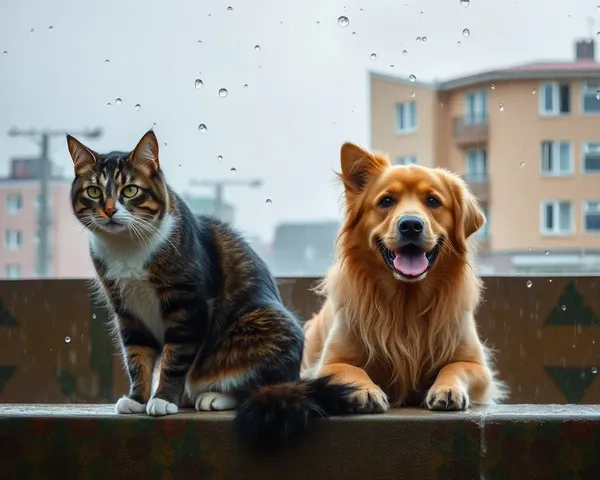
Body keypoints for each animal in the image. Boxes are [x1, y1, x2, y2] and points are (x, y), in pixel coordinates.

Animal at [65, 130, 358, 446]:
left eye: (130, 190)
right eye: (94, 192)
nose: (109, 210)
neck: (127, 249)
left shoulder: (188, 305)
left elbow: (175, 357)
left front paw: (163, 398)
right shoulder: (126, 310)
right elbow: (137, 356)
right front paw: (138, 399)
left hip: (267, 322)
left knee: (254, 385)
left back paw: (213, 396)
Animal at [300, 142, 506, 412]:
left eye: (433, 201)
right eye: (386, 200)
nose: (410, 225)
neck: (406, 302)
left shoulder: (477, 366)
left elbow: (455, 366)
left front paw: (448, 388)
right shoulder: (329, 362)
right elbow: (351, 370)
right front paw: (366, 390)